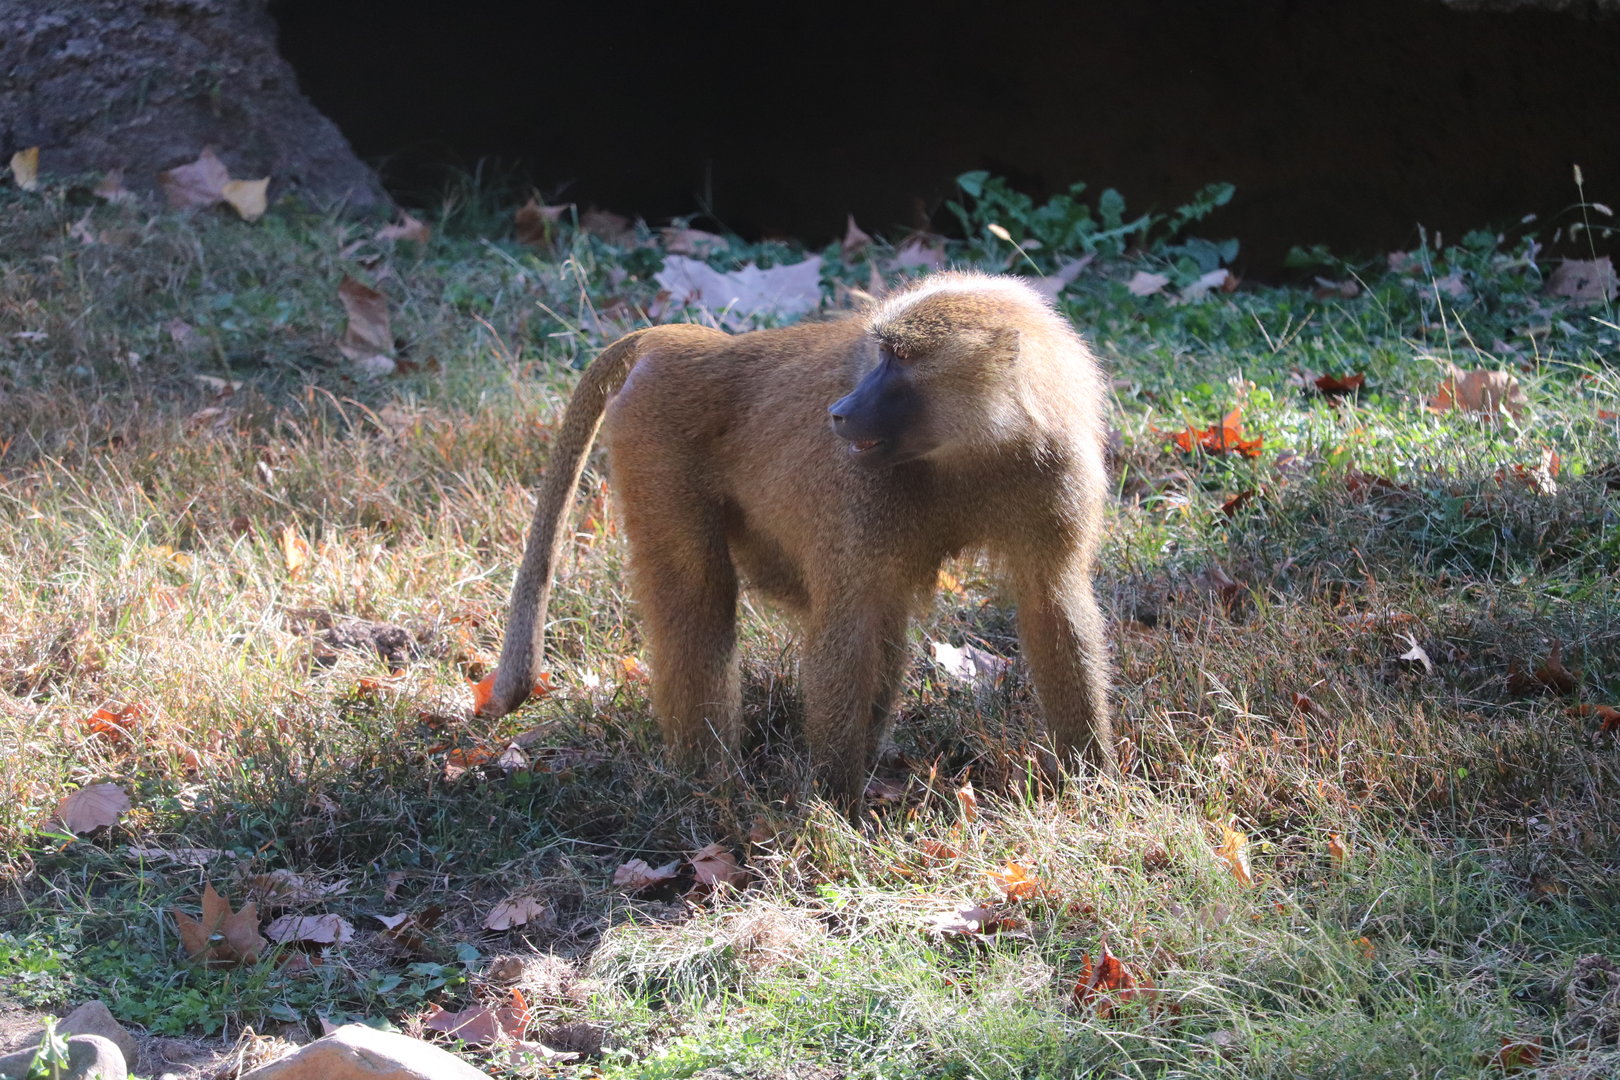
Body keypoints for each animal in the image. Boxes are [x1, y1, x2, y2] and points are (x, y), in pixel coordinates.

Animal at [483, 271, 1113, 808]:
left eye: (898, 359)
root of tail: (685, 340)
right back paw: (708, 783)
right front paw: (837, 811)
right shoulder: (860, 493)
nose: (840, 411)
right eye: (880, 353)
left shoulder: (1048, 470)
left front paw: (1090, 778)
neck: (971, 450)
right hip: (652, 443)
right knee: (698, 598)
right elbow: (848, 625)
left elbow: (1050, 602)